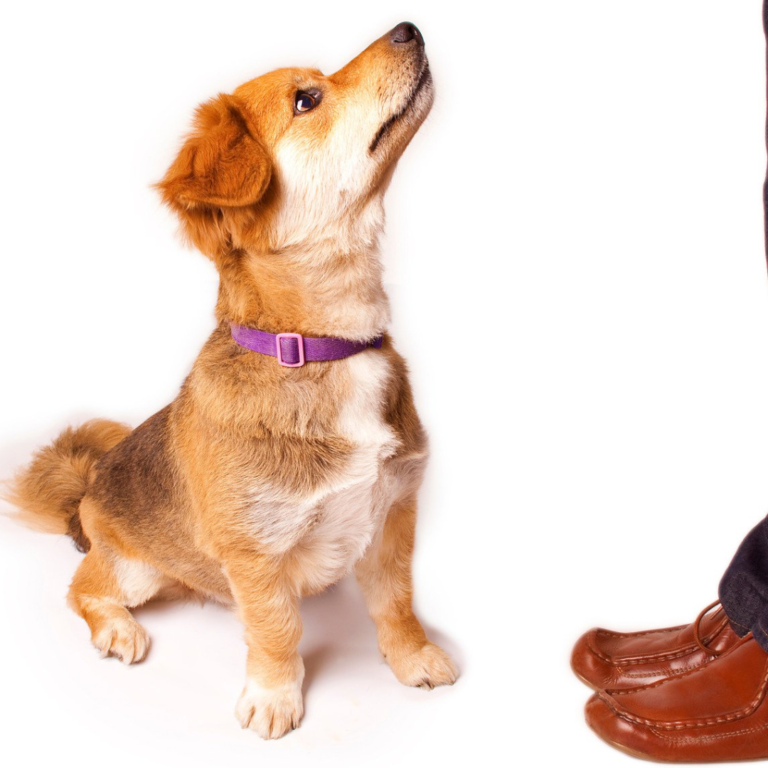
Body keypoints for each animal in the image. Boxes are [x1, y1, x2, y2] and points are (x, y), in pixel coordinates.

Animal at [6, 22, 456, 736]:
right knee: (83, 588)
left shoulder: (393, 514)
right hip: (132, 569)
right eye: (306, 99)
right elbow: (275, 629)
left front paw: (412, 656)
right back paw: (117, 628)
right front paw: (275, 695)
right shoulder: (255, 553)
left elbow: (397, 602)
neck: (323, 352)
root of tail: (88, 493)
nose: (408, 28)